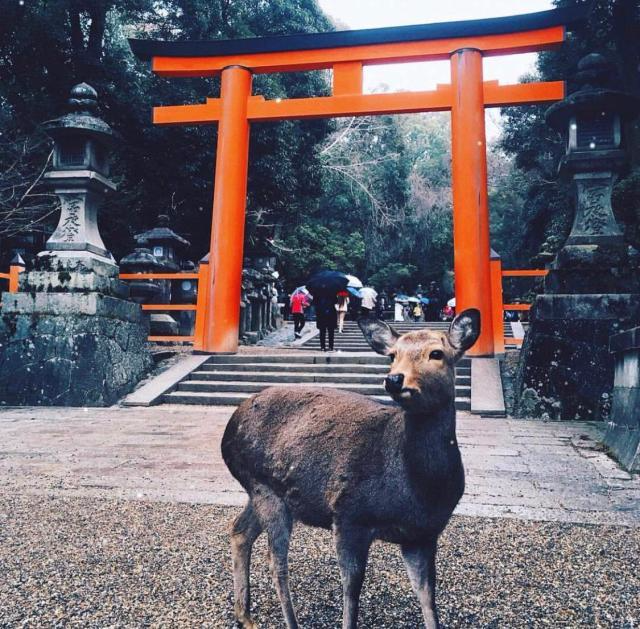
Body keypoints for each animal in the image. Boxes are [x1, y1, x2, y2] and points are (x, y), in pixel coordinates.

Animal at [221, 306, 480, 624]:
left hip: (261, 490)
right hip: (263, 486)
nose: (394, 379)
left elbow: (428, 598)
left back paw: (245, 616)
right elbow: (351, 592)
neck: (418, 491)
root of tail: (229, 429)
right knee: (275, 559)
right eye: (392, 354)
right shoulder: (349, 515)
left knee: (239, 530)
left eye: (436, 353)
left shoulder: (423, 534)